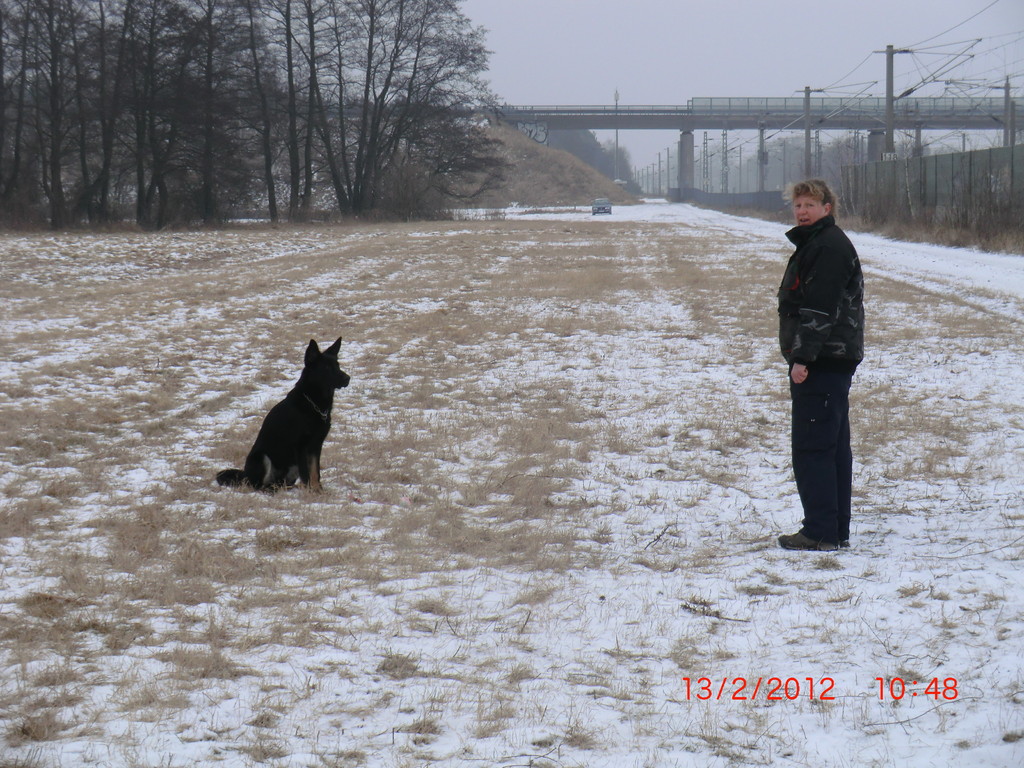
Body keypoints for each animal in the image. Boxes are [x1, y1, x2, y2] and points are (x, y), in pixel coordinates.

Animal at [215, 335, 348, 493]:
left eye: (338, 365)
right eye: (327, 368)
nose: (348, 378)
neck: (313, 403)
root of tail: (245, 476)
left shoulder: (316, 446)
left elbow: (315, 472)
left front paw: (318, 491)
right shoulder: (301, 447)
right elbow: (306, 474)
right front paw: (309, 493)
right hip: (261, 458)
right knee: (259, 485)